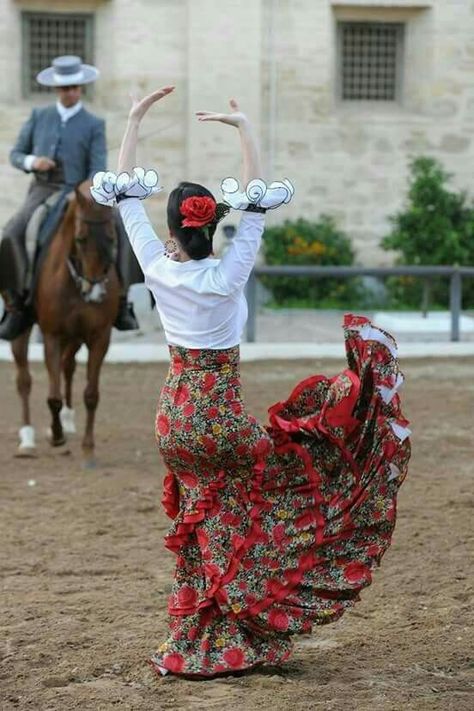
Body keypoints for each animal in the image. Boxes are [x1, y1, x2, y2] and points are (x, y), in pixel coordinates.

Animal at [11, 181, 120, 464]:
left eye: (112, 238)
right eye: (80, 238)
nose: (95, 292)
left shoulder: (99, 337)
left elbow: (91, 394)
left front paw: (88, 448)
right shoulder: (52, 335)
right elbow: (53, 396)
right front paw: (56, 435)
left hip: (76, 338)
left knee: (67, 366)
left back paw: (67, 422)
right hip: (23, 329)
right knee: (24, 379)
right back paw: (27, 440)